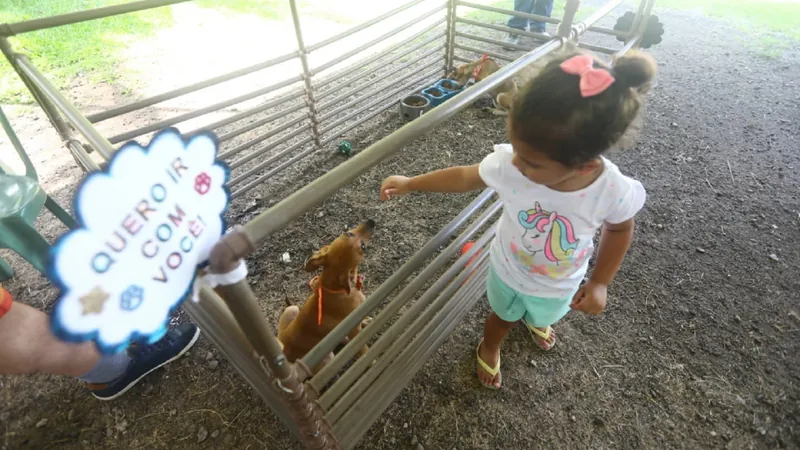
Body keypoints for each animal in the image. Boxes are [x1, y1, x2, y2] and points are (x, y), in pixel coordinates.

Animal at [276, 220, 374, 370]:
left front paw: (365, 319)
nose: (371, 222)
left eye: (348, 233)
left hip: (293, 309)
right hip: (328, 359)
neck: (337, 289)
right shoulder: (355, 332)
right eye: (362, 246)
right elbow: (363, 349)